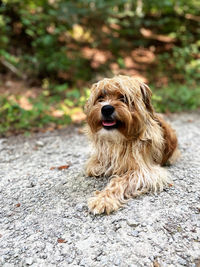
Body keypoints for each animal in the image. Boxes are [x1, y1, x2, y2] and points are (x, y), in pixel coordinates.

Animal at [84, 75, 180, 216]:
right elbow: (95, 167)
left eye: (123, 98)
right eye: (100, 97)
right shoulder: (97, 161)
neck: (121, 139)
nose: (106, 108)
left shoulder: (145, 172)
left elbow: (120, 181)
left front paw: (104, 199)